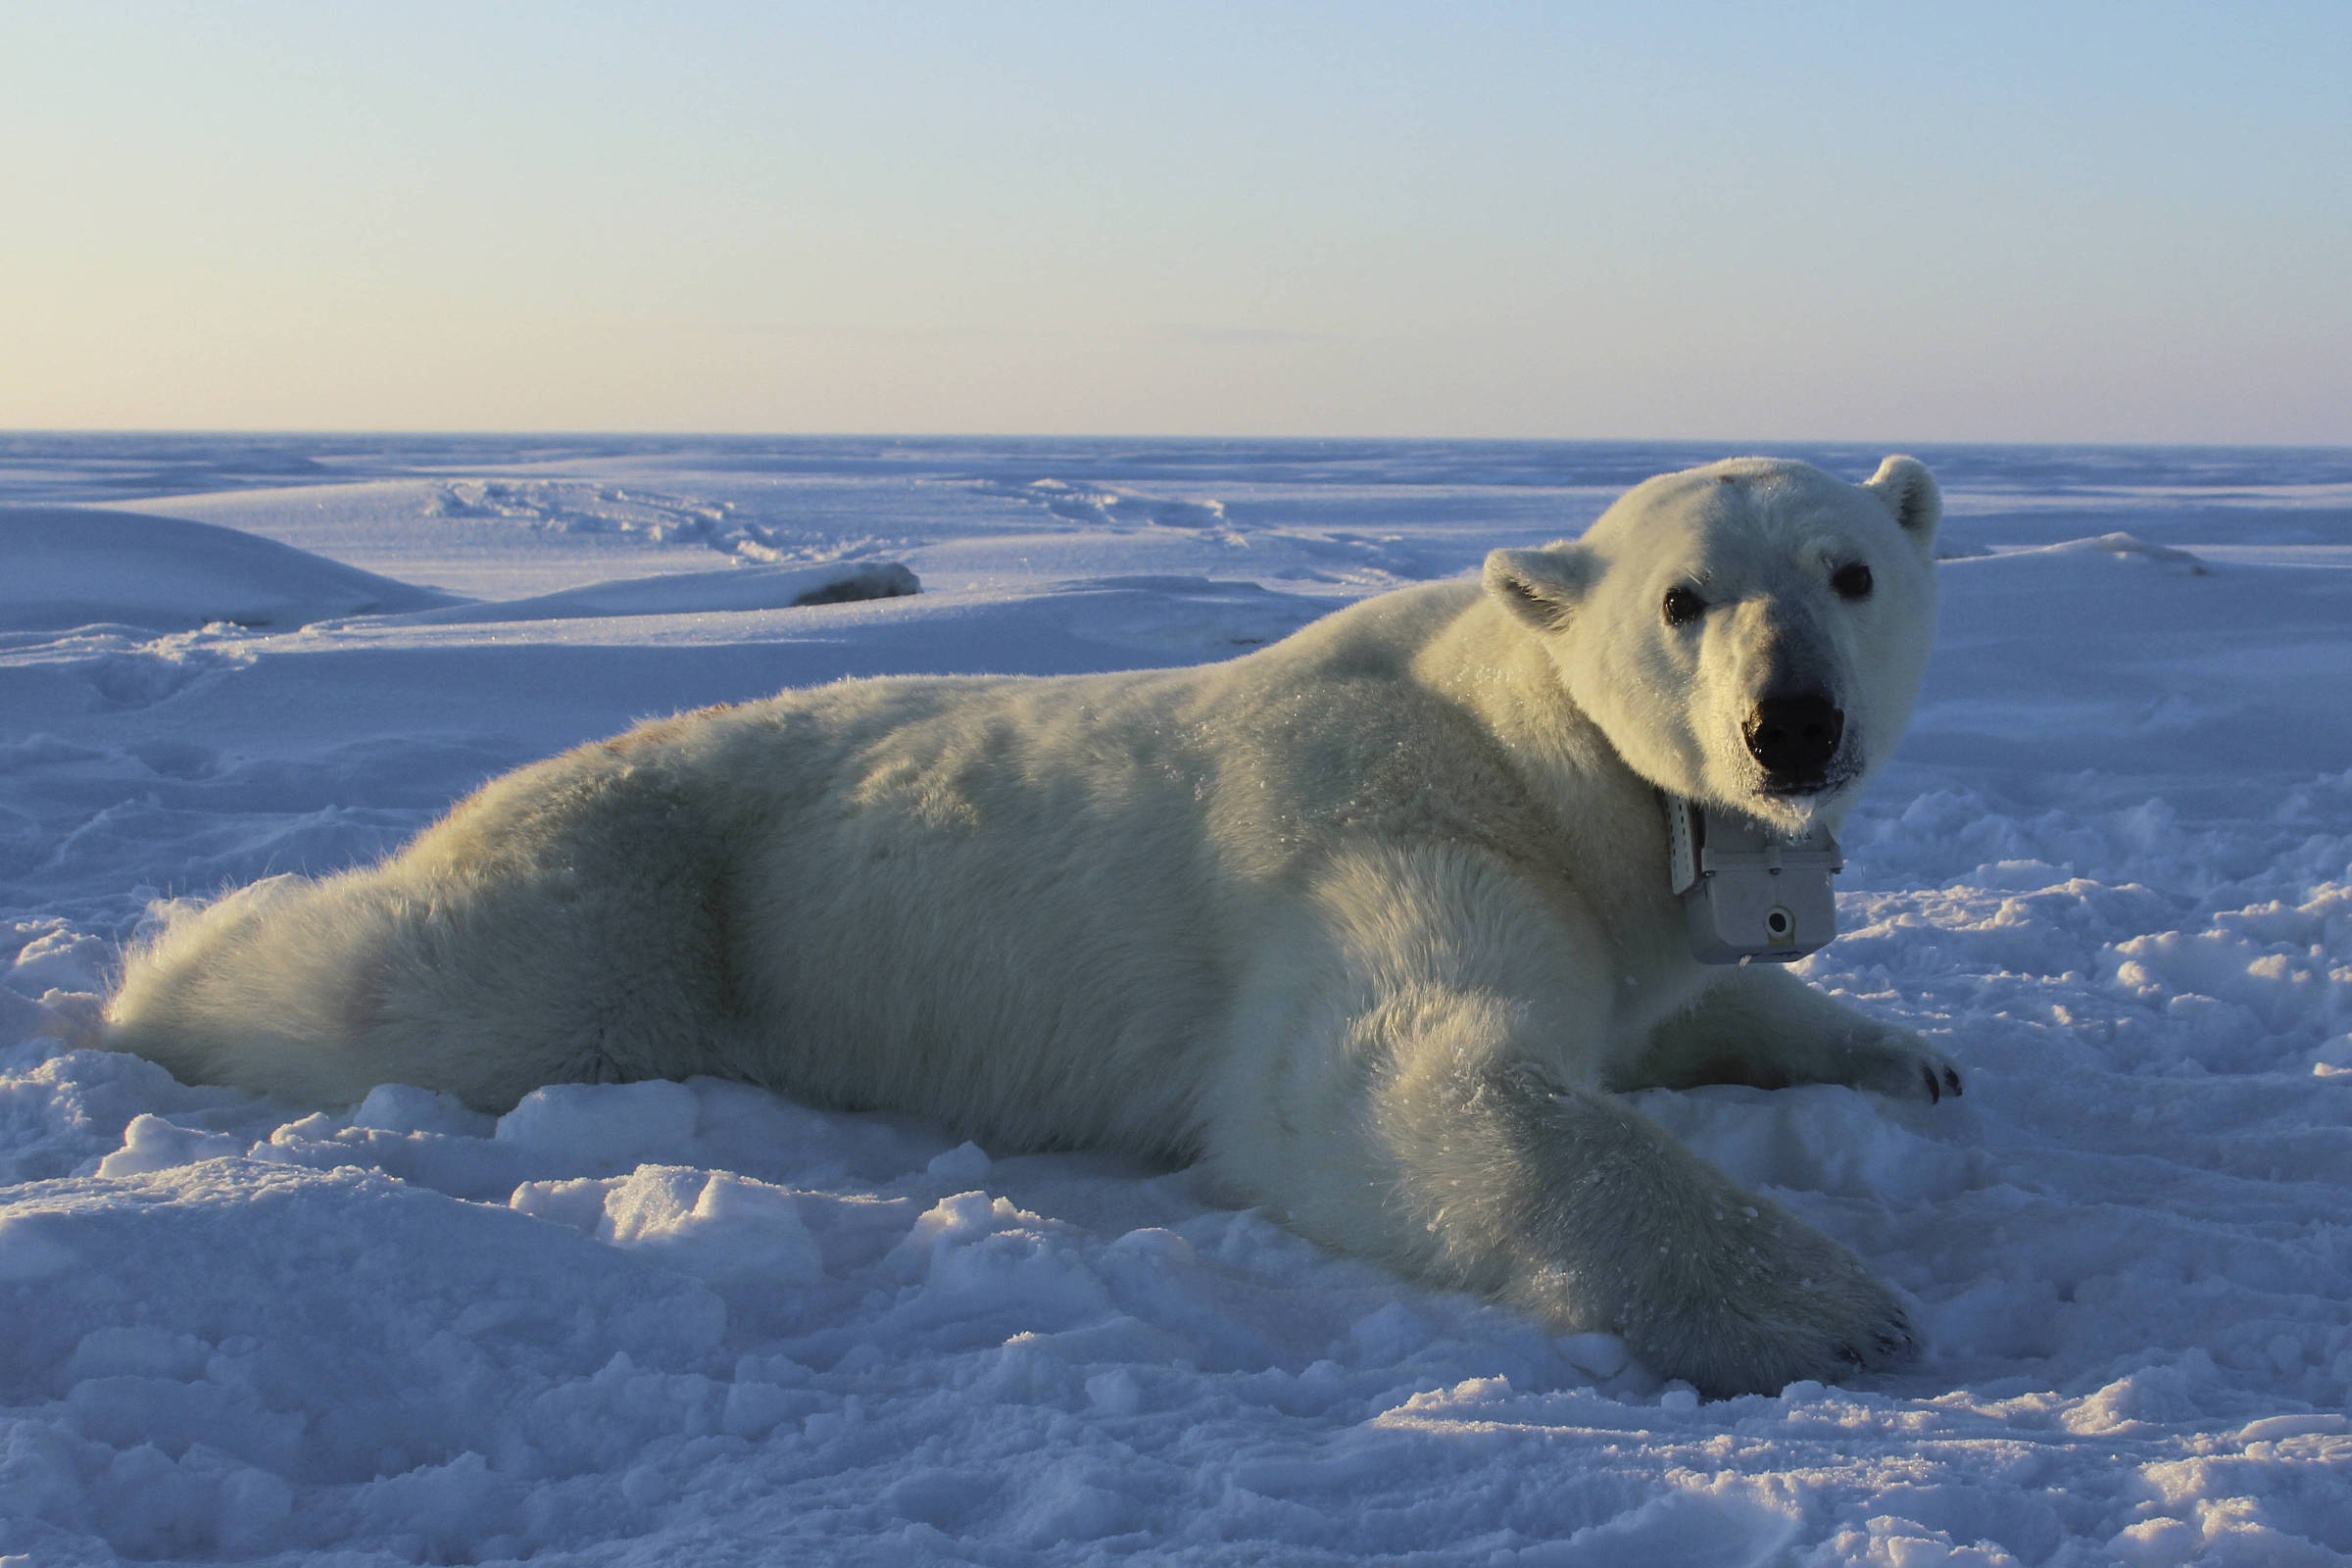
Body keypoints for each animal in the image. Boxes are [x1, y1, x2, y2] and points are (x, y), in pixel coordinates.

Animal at [106, 453, 1947, 1400]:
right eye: (1684, 596)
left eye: (1851, 571)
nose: (1792, 726)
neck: (1530, 749)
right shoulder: (1392, 832)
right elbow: (1391, 1080)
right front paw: (1829, 1307)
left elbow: (1686, 1002)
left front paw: (1907, 1060)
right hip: (641, 900)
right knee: (408, 989)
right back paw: (148, 975)